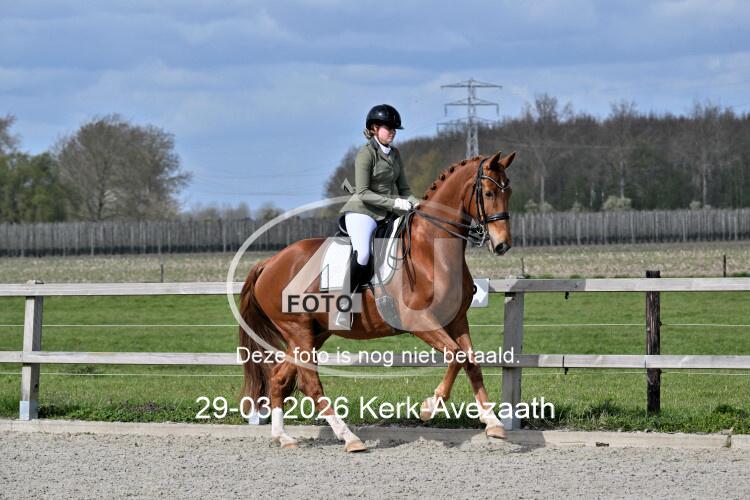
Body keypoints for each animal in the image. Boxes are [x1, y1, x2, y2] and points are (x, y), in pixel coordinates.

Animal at [239, 150, 516, 452]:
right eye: (488, 193)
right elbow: (456, 356)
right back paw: (350, 438)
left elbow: (471, 362)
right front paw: (429, 406)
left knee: (279, 377)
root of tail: (270, 263)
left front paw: (493, 423)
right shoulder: (419, 321)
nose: (502, 245)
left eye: (509, 191)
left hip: (312, 334)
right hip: (298, 330)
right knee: (310, 384)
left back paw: (284, 437)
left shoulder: (456, 319)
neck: (432, 249)